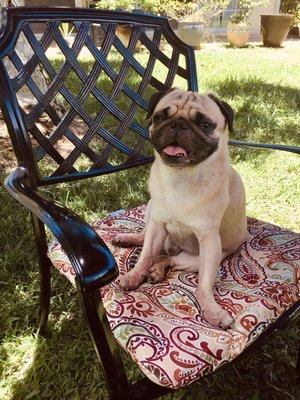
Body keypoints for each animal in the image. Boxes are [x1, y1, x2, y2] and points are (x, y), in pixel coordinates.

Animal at [113, 88, 247, 328]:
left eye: (205, 124)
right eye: (160, 117)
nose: (177, 124)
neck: (181, 177)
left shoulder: (209, 242)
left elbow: (204, 285)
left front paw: (212, 311)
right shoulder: (157, 225)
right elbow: (146, 254)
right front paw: (134, 275)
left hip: (197, 259)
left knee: (169, 259)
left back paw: (158, 270)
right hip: (150, 211)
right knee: (146, 239)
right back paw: (130, 240)